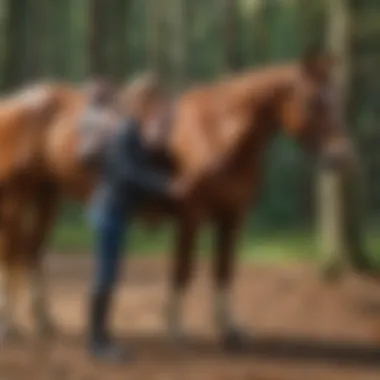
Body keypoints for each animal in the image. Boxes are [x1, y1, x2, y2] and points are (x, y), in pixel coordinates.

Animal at [0, 51, 358, 350]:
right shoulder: (191, 216)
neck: (218, 131)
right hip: (17, 196)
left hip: (46, 194)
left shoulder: (232, 217)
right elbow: (183, 269)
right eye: (314, 101)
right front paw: (175, 328)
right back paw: (11, 324)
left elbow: (224, 270)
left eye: (338, 101)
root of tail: (14, 104)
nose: (341, 157)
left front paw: (230, 329)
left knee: (32, 252)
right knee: (13, 252)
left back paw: (44, 321)